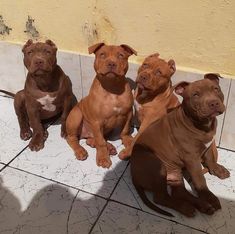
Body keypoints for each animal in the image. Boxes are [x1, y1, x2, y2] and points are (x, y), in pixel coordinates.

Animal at [130, 73, 229, 218]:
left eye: (216, 89)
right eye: (195, 95)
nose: (214, 103)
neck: (200, 123)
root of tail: (132, 173)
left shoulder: (208, 147)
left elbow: (210, 160)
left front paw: (218, 170)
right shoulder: (192, 159)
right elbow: (200, 180)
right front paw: (210, 198)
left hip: (175, 172)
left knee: (179, 192)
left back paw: (201, 206)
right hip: (157, 165)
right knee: (160, 197)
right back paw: (188, 207)